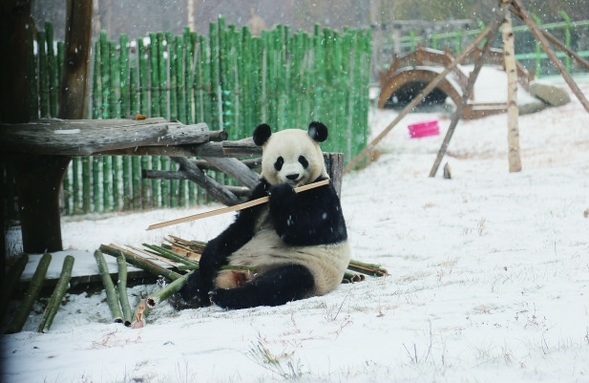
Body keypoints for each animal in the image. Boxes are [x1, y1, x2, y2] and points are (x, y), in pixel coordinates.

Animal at [172, 121, 352, 310]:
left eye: (302, 159)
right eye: (279, 161)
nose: (292, 176)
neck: (297, 189)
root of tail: (240, 275)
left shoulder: (321, 191)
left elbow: (311, 229)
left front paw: (282, 194)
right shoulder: (261, 194)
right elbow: (241, 228)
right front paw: (208, 255)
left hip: (310, 270)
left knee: (282, 282)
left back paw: (224, 296)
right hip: (229, 262)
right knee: (201, 276)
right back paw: (185, 297)